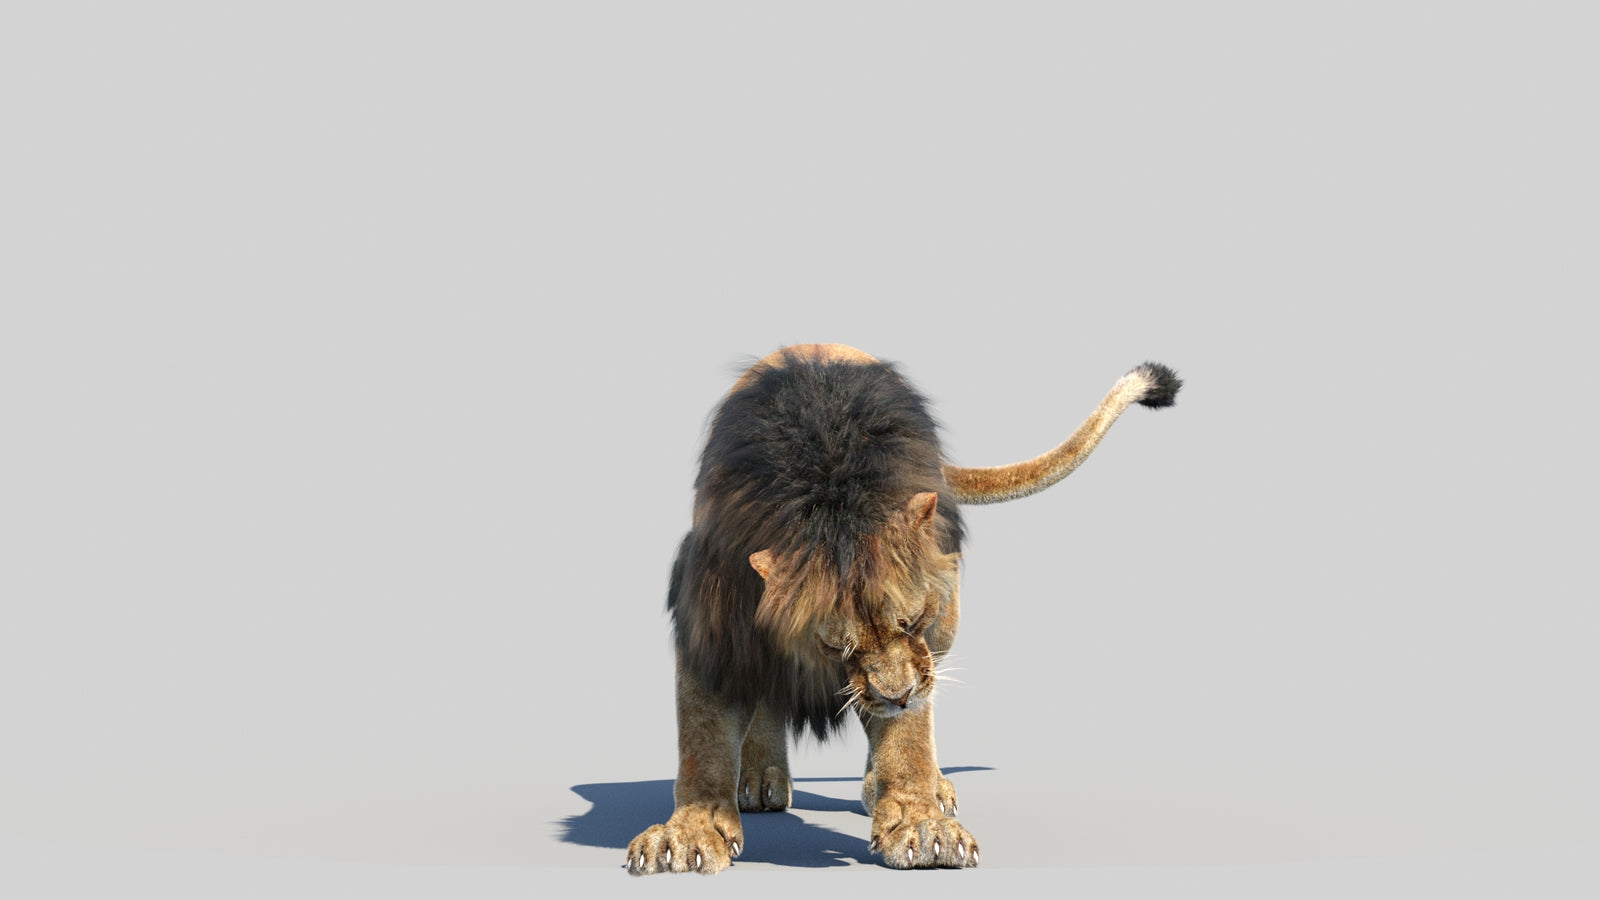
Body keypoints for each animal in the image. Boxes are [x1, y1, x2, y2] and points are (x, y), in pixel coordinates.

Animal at [625, 344, 1180, 874]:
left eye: (911, 620)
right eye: (835, 643)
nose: (898, 696)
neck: (830, 498)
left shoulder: (918, 655)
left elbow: (908, 740)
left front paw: (921, 826)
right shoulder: (711, 628)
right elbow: (704, 741)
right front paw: (688, 834)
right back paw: (761, 776)